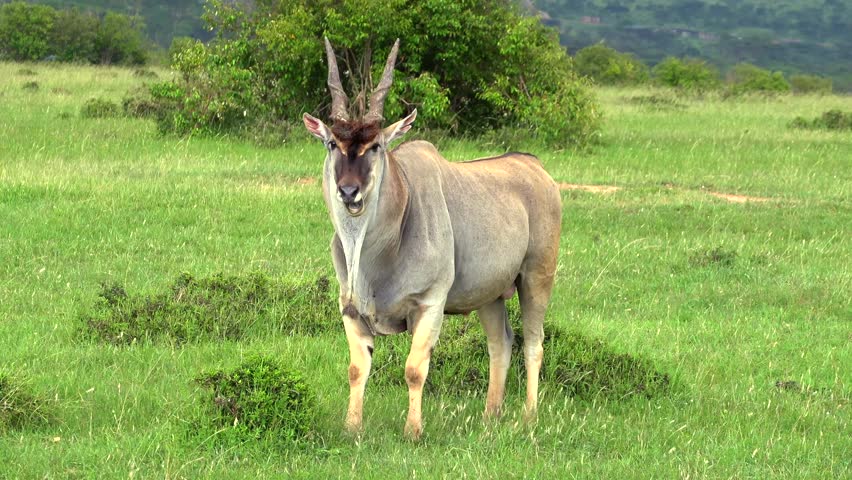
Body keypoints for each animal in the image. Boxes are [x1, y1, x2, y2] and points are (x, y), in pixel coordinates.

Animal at [302, 39, 562, 440]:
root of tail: (535, 167)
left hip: (536, 278)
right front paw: (352, 427)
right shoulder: (350, 310)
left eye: (375, 145)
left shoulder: (430, 304)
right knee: (501, 343)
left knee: (534, 343)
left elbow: (414, 370)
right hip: (489, 296)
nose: (349, 192)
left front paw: (413, 430)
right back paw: (490, 417)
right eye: (332, 143)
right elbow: (357, 369)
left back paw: (528, 417)